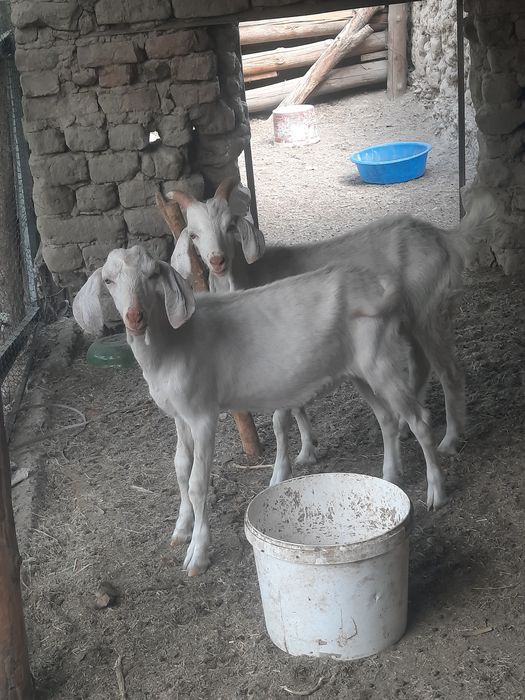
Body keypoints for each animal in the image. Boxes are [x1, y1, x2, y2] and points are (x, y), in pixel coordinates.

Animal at [73, 245, 447, 576]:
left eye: (152, 275)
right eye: (108, 280)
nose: (134, 318)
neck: (172, 345)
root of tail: (382, 287)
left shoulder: (202, 414)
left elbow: (197, 482)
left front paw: (197, 555)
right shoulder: (180, 416)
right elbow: (179, 468)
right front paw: (180, 530)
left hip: (381, 360)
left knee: (419, 420)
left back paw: (436, 492)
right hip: (360, 372)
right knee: (387, 419)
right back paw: (390, 476)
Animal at [169, 183, 496, 457]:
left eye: (230, 226)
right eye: (194, 234)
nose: (217, 261)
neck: (250, 276)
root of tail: (443, 236)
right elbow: (297, 405)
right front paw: (307, 450)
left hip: (429, 310)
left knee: (450, 371)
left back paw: (449, 441)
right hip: (408, 320)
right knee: (420, 365)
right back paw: (406, 428)